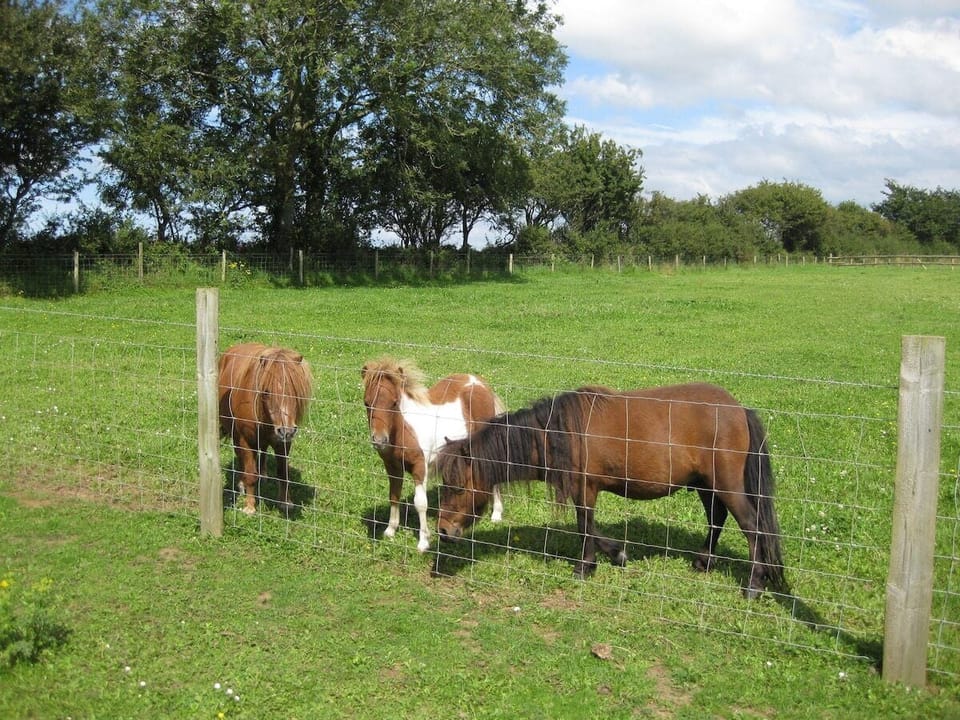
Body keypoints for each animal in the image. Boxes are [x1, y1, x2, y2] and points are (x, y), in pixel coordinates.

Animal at [219, 342, 313, 515]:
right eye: (267, 391)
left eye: (295, 391)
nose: (286, 431)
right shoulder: (245, 440)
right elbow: (250, 474)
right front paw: (250, 506)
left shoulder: (283, 443)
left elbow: (283, 473)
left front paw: (286, 502)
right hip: (237, 437)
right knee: (242, 458)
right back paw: (242, 484)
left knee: (262, 451)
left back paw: (263, 474)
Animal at [361, 357, 506, 552]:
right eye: (366, 403)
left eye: (394, 403)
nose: (379, 440)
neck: (404, 431)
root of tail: (479, 382)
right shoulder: (392, 467)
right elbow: (394, 495)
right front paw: (390, 531)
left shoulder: (419, 467)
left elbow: (420, 503)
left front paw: (424, 542)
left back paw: (496, 514)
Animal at [436, 382, 787, 598]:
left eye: (457, 486)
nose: (443, 531)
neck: (559, 433)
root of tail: (739, 409)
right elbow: (590, 528)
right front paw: (616, 554)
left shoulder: (584, 489)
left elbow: (585, 526)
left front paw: (586, 566)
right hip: (705, 485)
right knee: (717, 519)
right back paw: (704, 562)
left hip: (725, 484)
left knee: (752, 527)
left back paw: (754, 584)